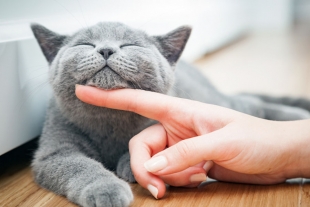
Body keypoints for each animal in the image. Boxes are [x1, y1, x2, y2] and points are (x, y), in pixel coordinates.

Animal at [30, 21, 310, 206]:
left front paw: (130, 165)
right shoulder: (54, 151)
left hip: (217, 102)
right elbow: (79, 166)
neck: (110, 121)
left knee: (252, 104)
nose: (106, 49)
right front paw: (107, 189)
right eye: (85, 44)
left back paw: (298, 116)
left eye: (130, 44)